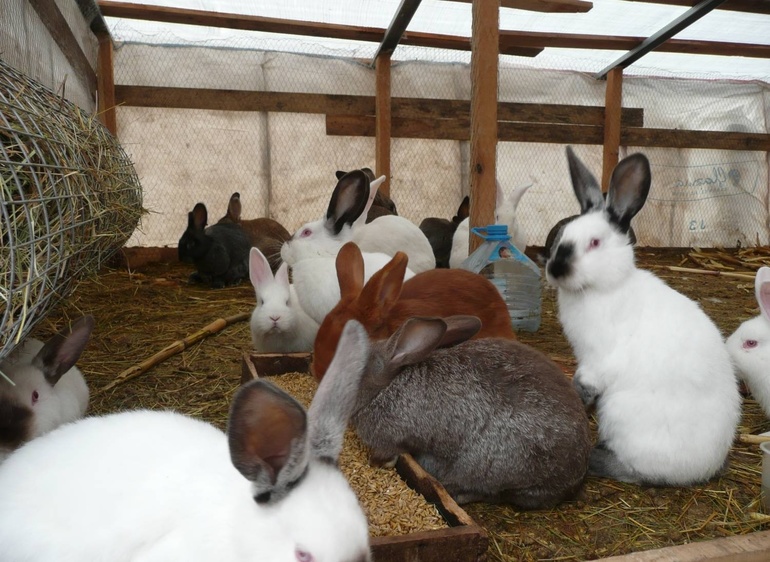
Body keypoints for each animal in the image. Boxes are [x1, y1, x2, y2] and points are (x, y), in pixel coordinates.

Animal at [544, 145, 740, 486]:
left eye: (594, 242)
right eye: (562, 235)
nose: (555, 269)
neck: (603, 287)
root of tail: (704, 469)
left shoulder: (598, 361)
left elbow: (587, 382)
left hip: (621, 416)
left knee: (638, 471)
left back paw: (599, 458)